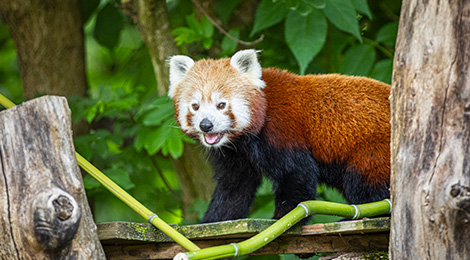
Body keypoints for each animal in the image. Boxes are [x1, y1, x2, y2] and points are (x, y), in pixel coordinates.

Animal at [168, 49, 390, 222]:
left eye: (221, 105)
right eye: (195, 106)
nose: (206, 125)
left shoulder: (281, 130)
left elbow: (296, 174)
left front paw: (283, 218)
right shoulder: (236, 155)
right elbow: (234, 187)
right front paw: (212, 221)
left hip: (372, 151)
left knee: (367, 184)